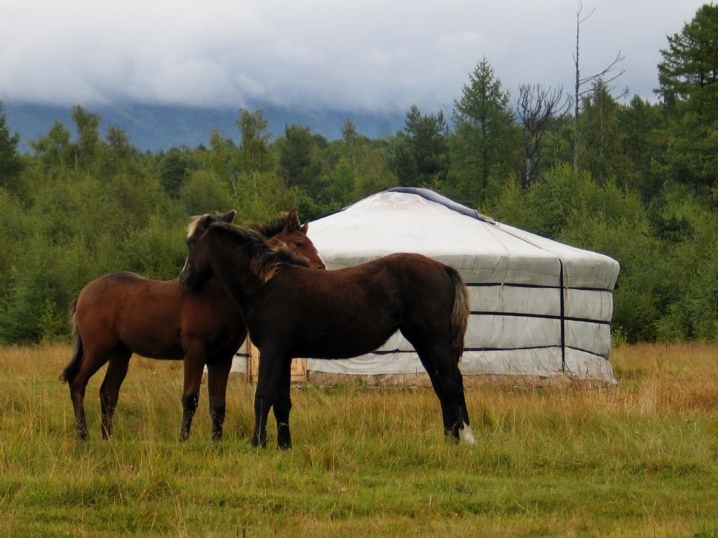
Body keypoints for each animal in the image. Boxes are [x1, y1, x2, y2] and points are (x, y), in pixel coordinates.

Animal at [60, 206, 324, 440]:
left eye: (311, 243)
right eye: (299, 243)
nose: (320, 269)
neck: (216, 295)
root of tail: (84, 292)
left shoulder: (222, 358)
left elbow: (218, 404)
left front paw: (216, 443)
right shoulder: (195, 353)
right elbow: (190, 398)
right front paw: (183, 440)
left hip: (120, 353)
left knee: (108, 393)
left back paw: (108, 438)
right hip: (98, 349)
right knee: (78, 383)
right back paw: (83, 436)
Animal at [177, 214, 476, 448]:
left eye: (191, 243)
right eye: (300, 244)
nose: (184, 281)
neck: (265, 284)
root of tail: (442, 266)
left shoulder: (272, 350)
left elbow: (262, 397)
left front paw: (257, 444)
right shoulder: (285, 354)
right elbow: (281, 401)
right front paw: (284, 446)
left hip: (435, 342)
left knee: (452, 381)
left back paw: (467, 439)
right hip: (422, 343)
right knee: (440, 385)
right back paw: (449, 440)